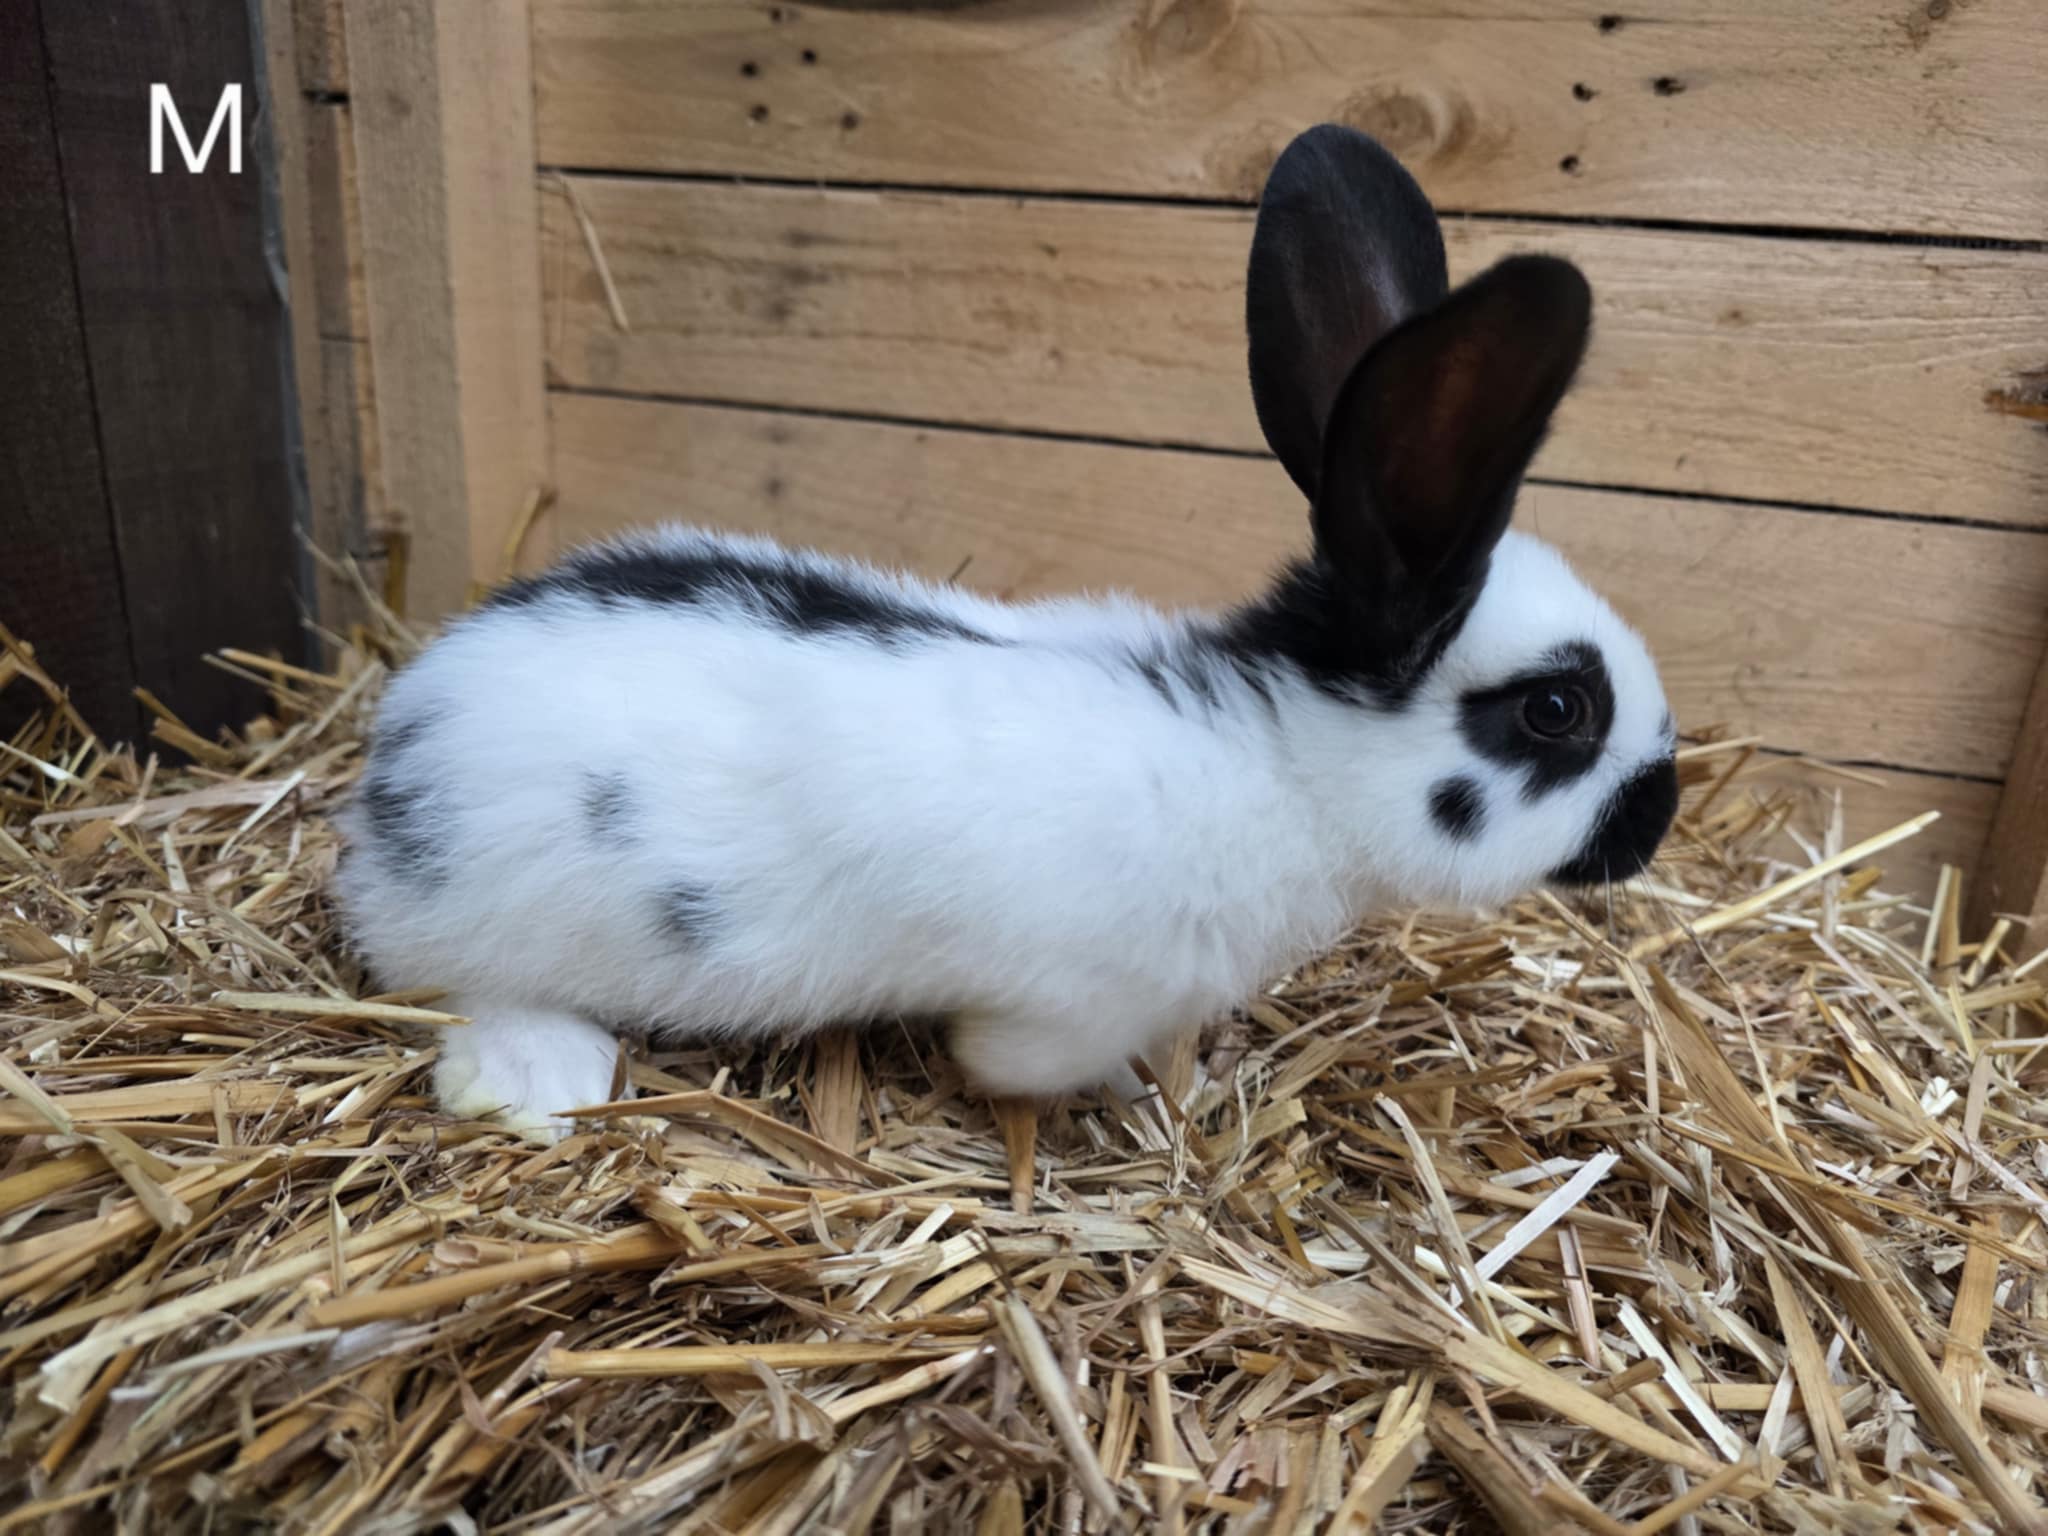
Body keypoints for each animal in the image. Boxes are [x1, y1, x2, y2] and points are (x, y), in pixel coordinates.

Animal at [332, 123, 1678, 1138]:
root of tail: (389, 763)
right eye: (1556, 710)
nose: (1656, 818)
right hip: (503, 932)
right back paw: (536, 1081)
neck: (1282, 757)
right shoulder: (1073, 989)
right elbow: (1018, 1059)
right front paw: (1097, 1093)